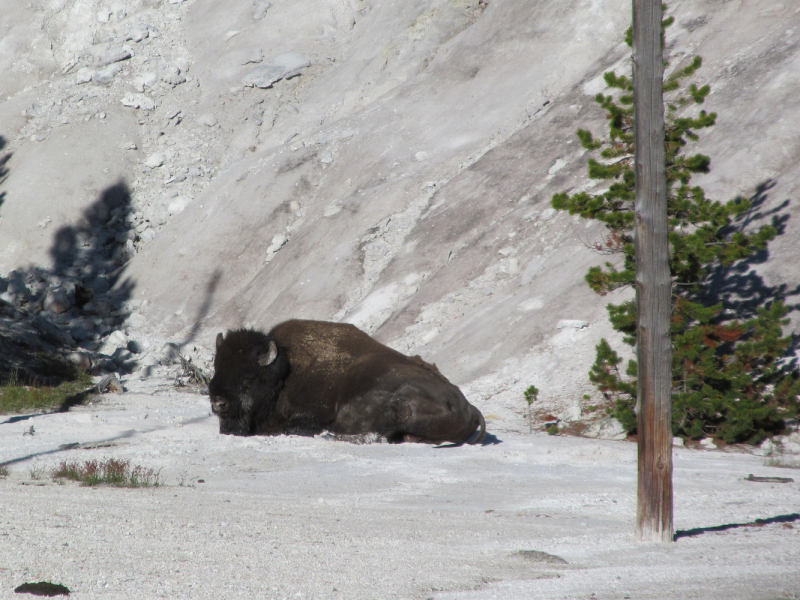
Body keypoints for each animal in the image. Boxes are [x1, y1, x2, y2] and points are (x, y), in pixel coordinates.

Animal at [209, 318, 484, 446]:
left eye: (248, 378)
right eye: (217, 368)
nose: (218, 403)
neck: (286, 371)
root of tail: (470, 408)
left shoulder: (310, 413)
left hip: (401, 404)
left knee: (379, 435)